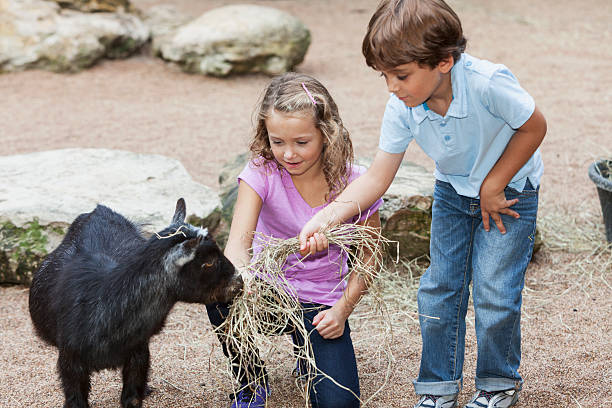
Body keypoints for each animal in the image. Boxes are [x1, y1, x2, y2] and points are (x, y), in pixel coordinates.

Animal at [28, 198, 244, 408]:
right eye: (208, 262)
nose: (239, 281)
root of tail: (98, 210)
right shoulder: (70, 362)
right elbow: (75, 400)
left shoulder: (138, 353)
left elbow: (132, 397)